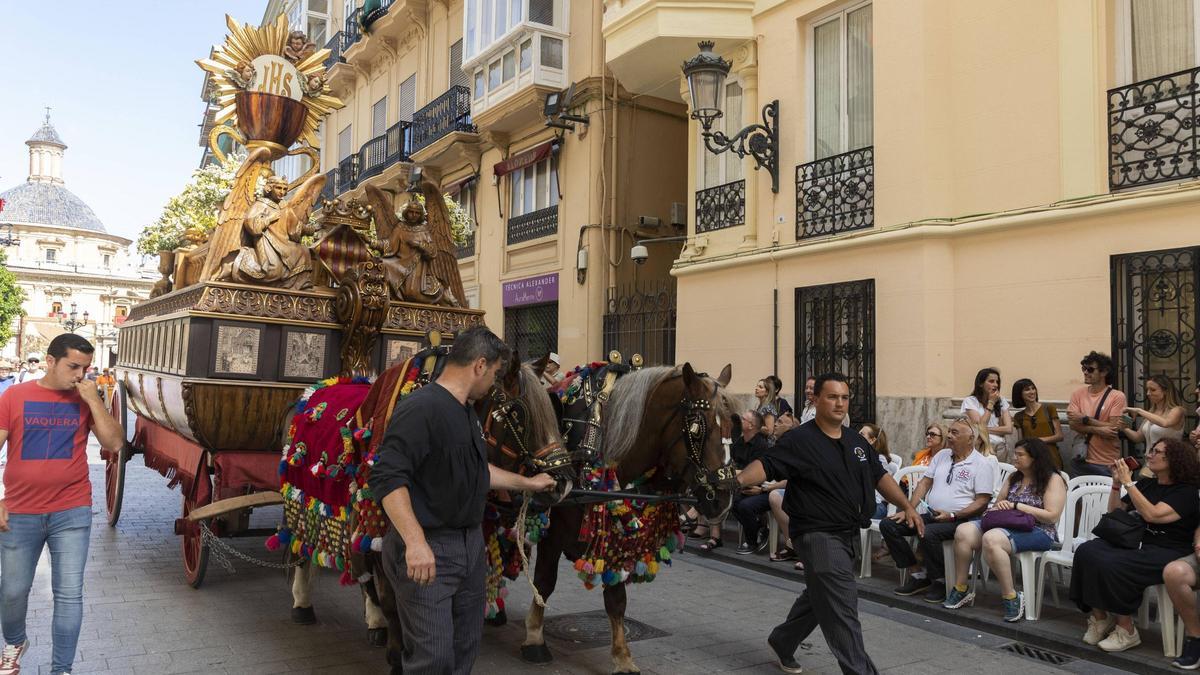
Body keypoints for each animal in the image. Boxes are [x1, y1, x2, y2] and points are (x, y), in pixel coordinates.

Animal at [489, 360, 739, 667]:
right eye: (696, 428)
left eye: (732, 425)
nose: (724, 499)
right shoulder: (553, 534)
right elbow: (545, 581)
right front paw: (534, 637)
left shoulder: (615, 540)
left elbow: (616, 599)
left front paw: (622, 657)